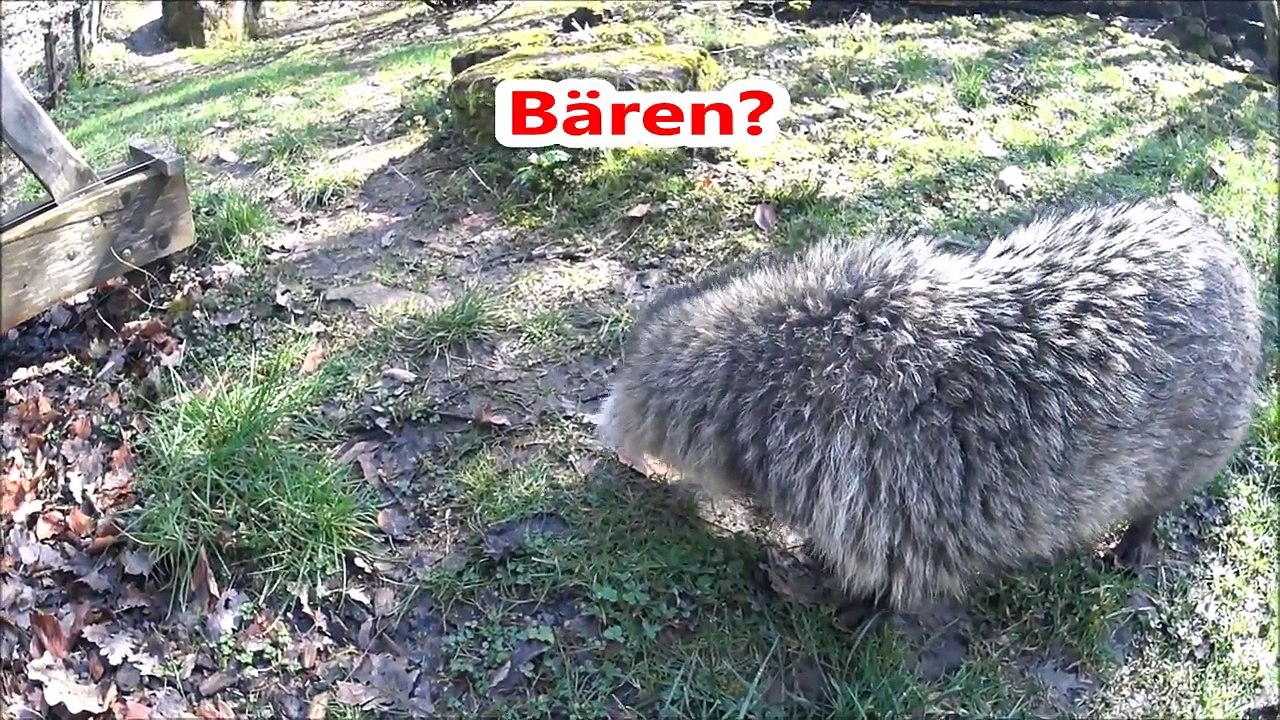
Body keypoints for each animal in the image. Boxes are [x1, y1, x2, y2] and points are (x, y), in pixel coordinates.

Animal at [596, 198, 1266, 613]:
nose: (608, 441)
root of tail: (1224, 254)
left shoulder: (872, 479)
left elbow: (892, 566)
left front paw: (852, 600)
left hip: (1201, 429)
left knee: (1163, 490)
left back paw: (1137, 537)